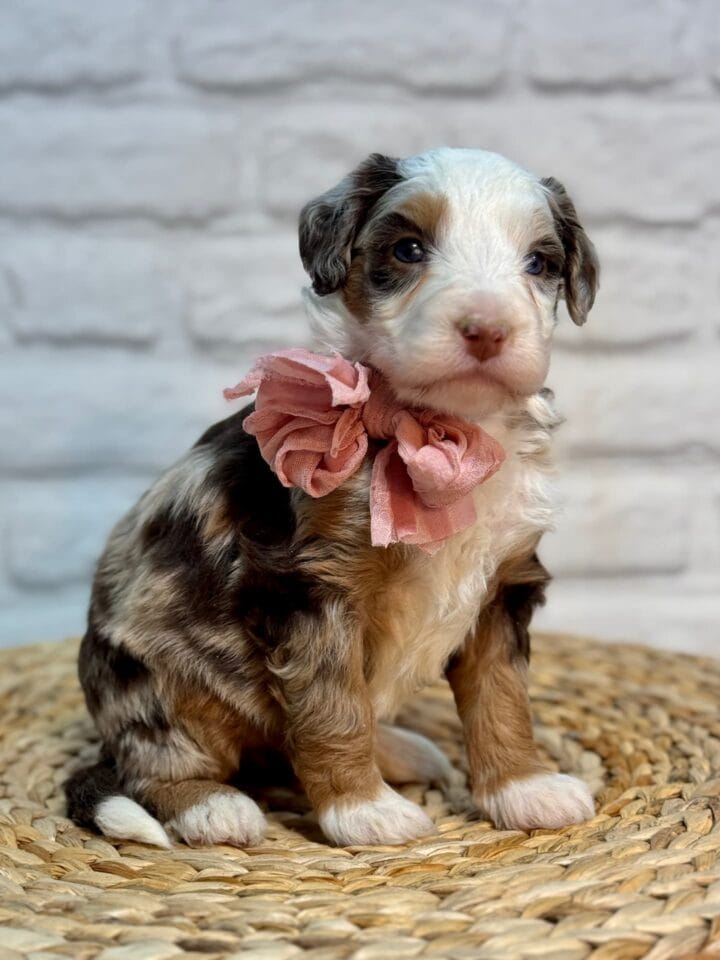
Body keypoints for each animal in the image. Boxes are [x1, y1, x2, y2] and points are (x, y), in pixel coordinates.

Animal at [67, 146, 600, 844]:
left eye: (538, 262)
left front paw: (524, 789)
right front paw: (363, 812)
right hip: (155, 680)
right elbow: (332, 705)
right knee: (156, 763)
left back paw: (404, 751)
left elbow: (501, 695)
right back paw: (214, 807)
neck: (443, 432)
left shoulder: (502, 585)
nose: (487, 330)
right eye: (407, 249)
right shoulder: (310, 588)